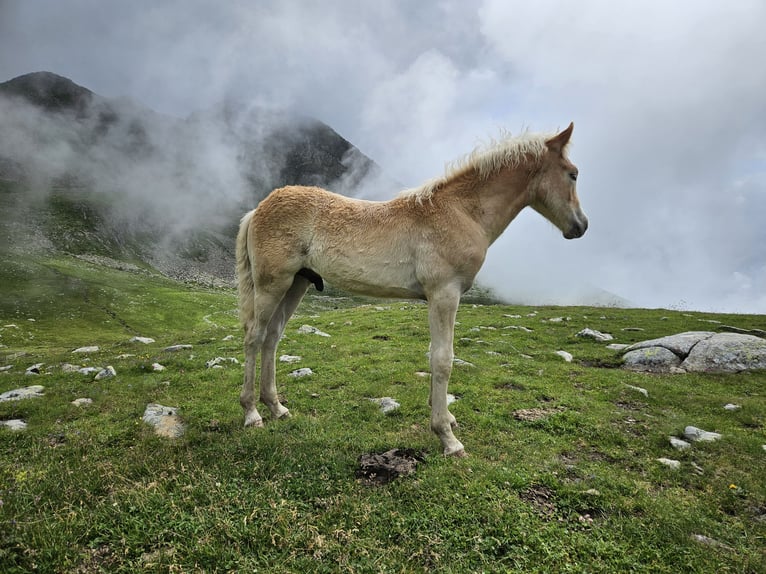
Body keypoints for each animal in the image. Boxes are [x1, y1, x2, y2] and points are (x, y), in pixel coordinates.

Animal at [234, 122, 588, 460]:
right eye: (573, 173)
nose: (581, 226)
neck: (461, 212)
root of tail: (257, 209)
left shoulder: (439, 297)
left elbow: (434, 355)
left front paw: (447, 419)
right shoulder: (445, 293)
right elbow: (443, 359)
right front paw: (447, 438)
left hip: (297, 283)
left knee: (272, 337)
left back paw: (277, 407)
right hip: (272, 284)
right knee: (254, 336)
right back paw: (252, 413)